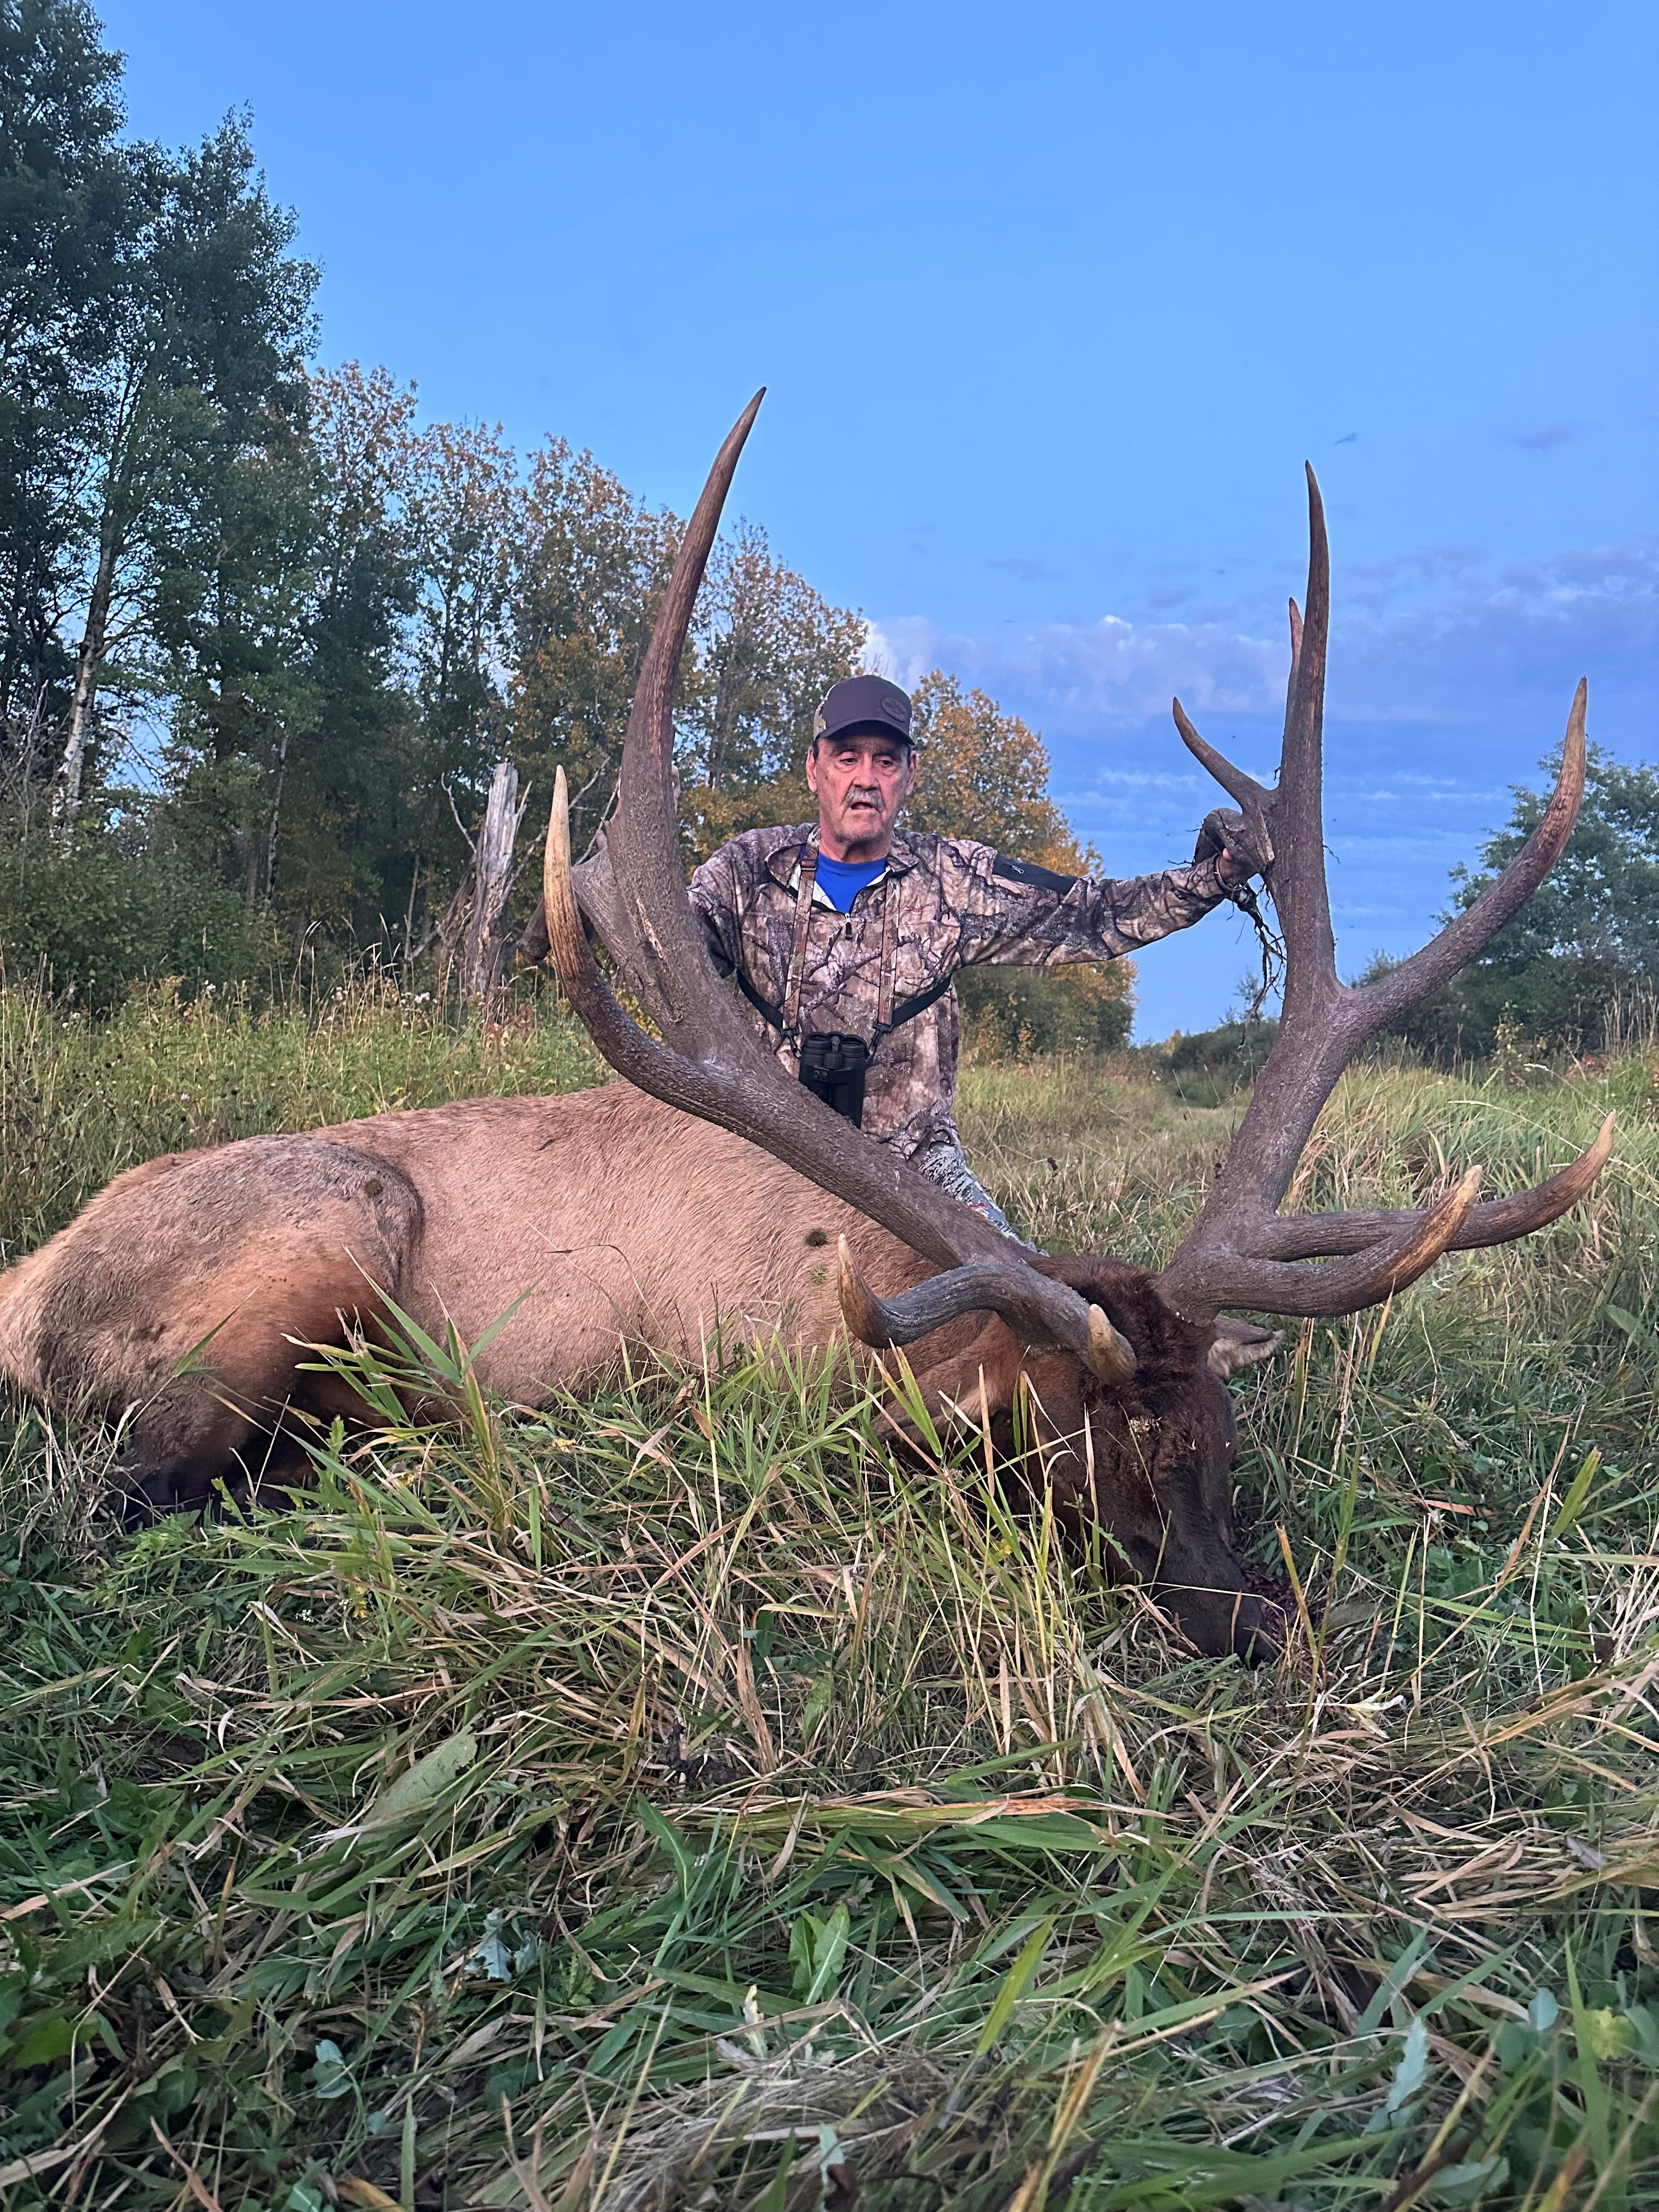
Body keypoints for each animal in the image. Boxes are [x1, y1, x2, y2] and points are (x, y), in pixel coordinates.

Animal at [0, 395, 1611, 1661]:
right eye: (1068, 1449)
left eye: (1222, 1442)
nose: (1253, 1628)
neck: (859, 1312)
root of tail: (25, 1286)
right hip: (322, 1233)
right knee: (136, 1491)